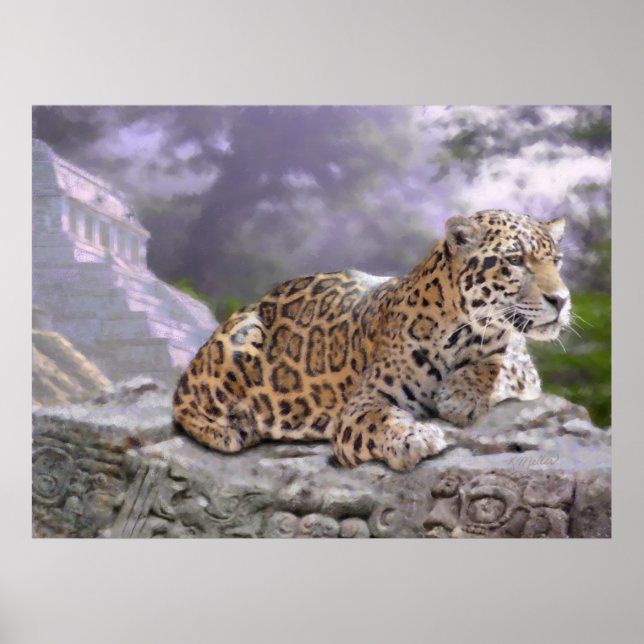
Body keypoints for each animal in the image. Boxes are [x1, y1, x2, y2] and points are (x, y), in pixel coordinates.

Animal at [173, 209, 570, 471]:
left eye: (557, 261)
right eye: (514, 260)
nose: (562, 300)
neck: (467, 331)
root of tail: (257, 300)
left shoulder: (523, 364)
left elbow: (500, 365)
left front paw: (460, 395)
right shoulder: (363, 404)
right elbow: (382, 421)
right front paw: (415, 438)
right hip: (239, 336)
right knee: (186, 404)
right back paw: (234, 427)